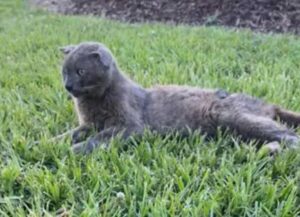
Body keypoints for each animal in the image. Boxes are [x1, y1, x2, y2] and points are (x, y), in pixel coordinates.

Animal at [58, 42, 300, 154]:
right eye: (64, 72)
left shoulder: (130, 126)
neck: (93, 100)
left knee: (289, 135)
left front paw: (76, 150)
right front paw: (52, 143)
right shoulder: (88, 124)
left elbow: (99, 138)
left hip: (232, 116)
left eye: (80, 71)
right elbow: (71, 133)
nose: (67, 86)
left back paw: (271, 150)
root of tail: (268, 104)